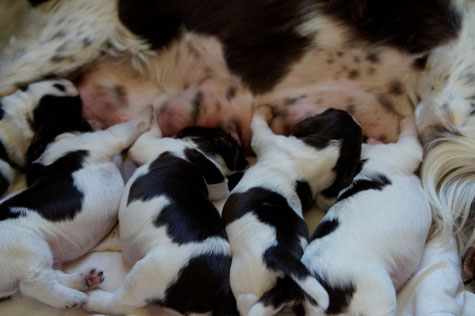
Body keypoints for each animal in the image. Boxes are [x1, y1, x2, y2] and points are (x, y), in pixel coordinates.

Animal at [0, 117, 151, 308]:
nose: (92, 119)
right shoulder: (103, 139)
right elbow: (124, 129)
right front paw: (145, 119)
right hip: (29, 247)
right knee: (35, 284)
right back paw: (73, 298)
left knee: (47, 278)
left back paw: (86, 279)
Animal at [85, 119, 249, 316]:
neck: (210, 157)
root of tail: (221, 290)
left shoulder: (148, 145)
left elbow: (147, 135)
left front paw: (152, 118)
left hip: (147, 273)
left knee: (120, 303)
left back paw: (91, 296)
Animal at [221, 107, 362, 314]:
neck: (331, 149)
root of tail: (281, 254)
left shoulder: (268, 140)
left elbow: (259, 125)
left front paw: (263, 109)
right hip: (285, 294)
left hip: (244, 285)